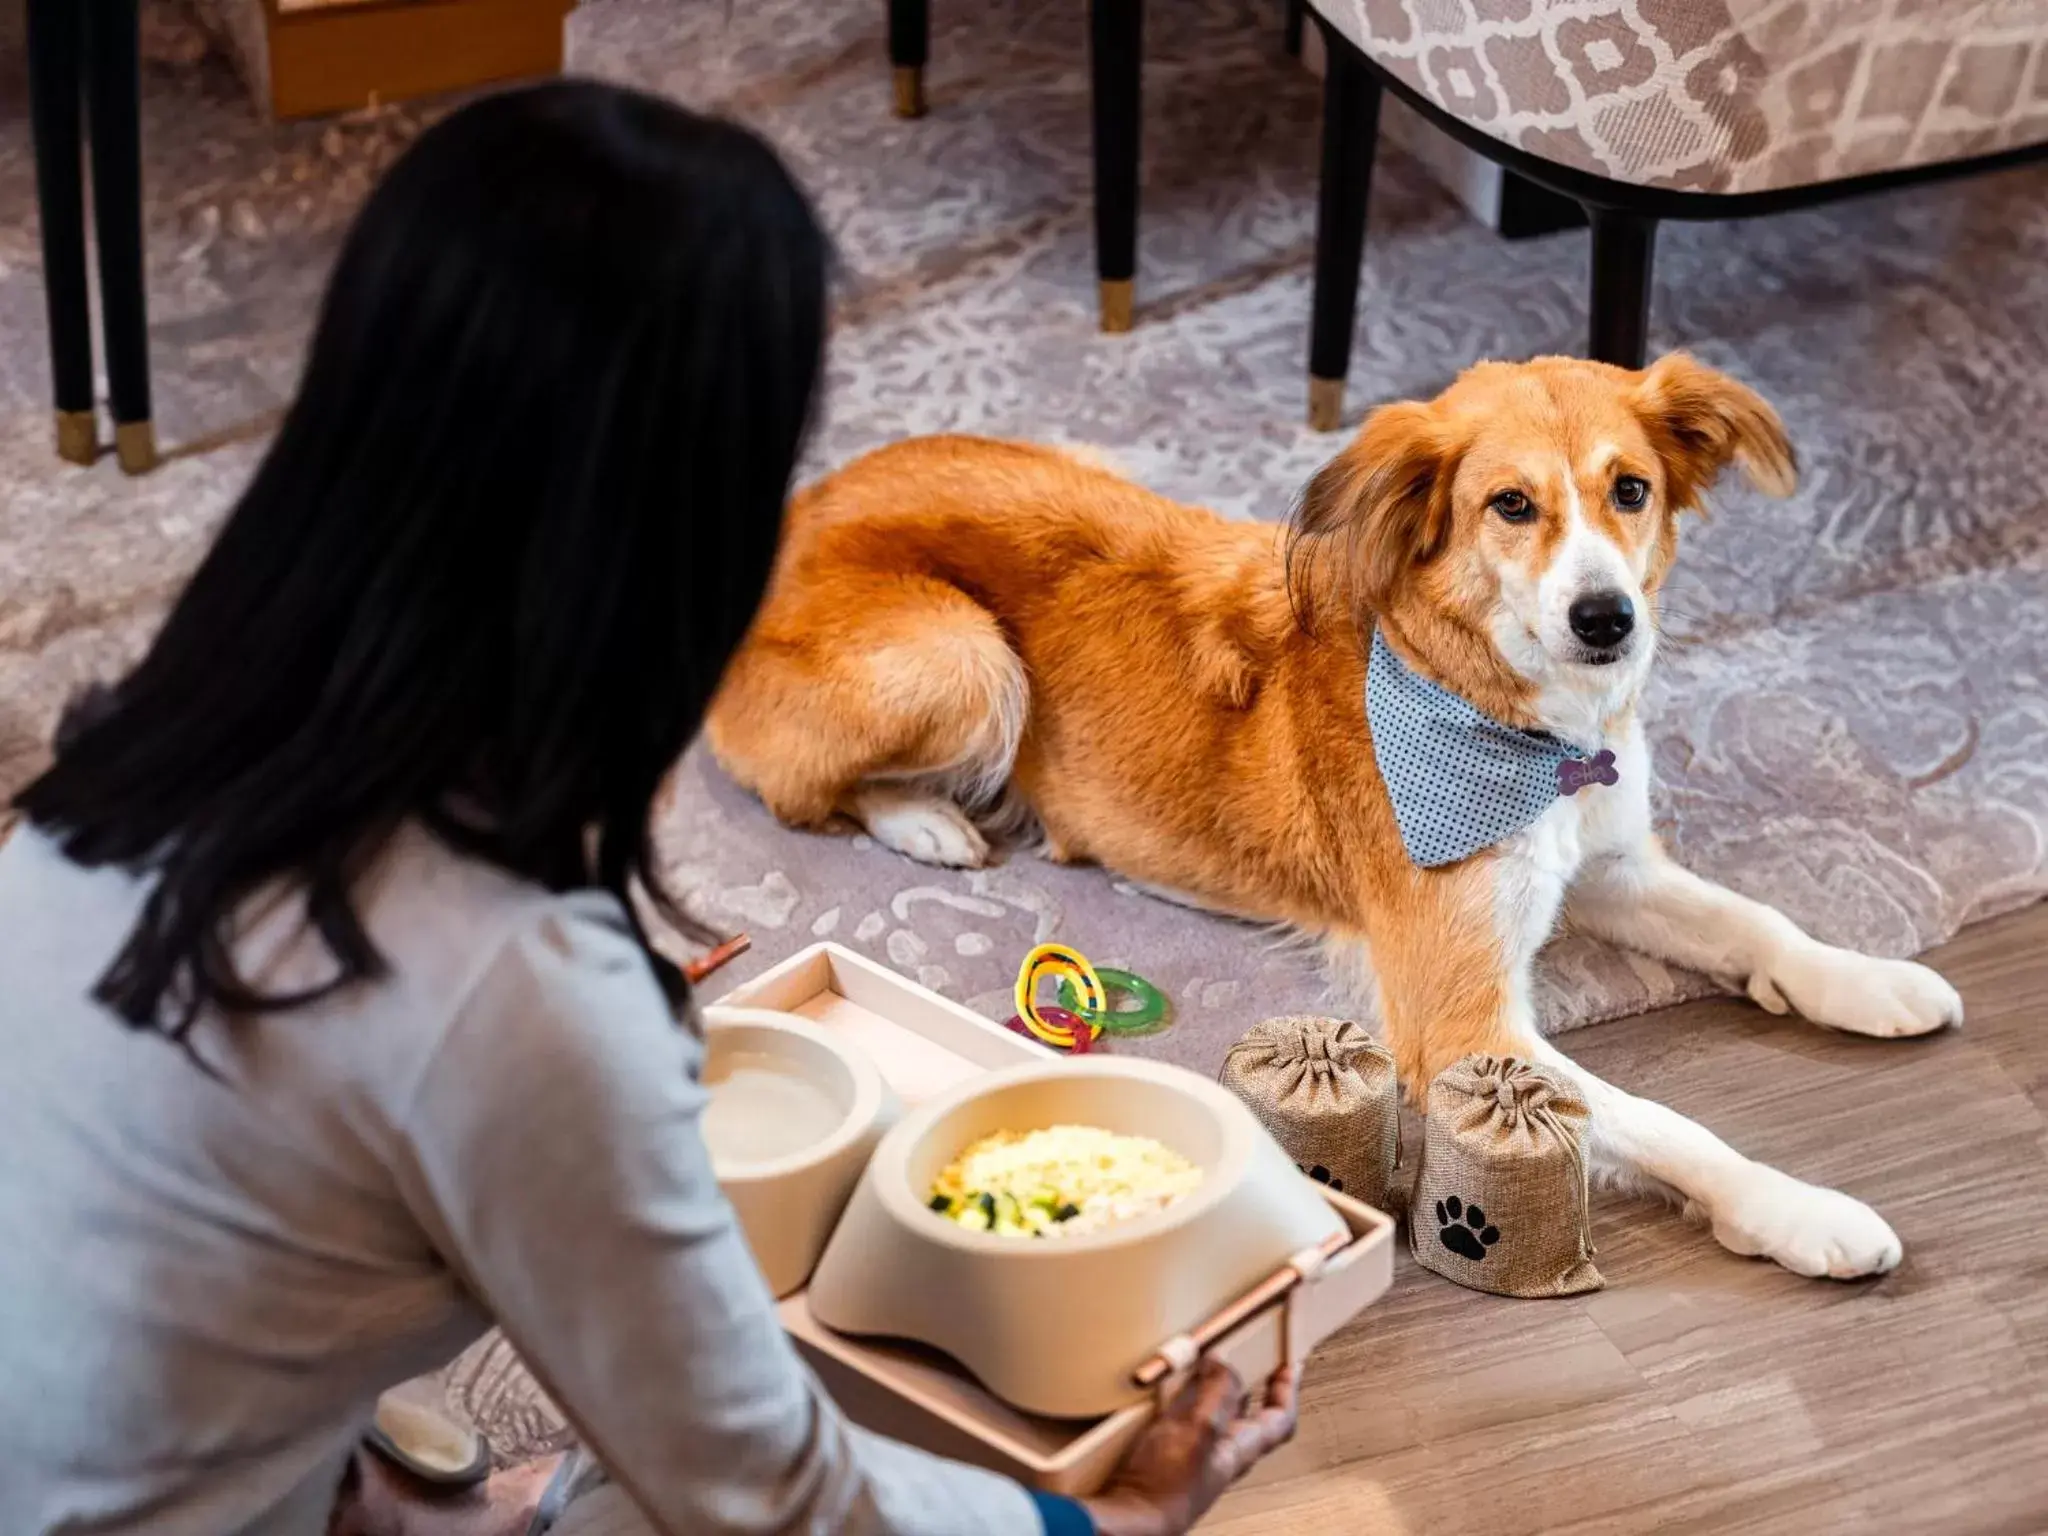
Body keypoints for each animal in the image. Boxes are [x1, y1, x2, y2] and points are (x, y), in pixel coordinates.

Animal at [712, 354, 1957, 1277]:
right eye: (1510, 506)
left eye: (1631, 490)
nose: (1605, 619)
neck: (1506, 718)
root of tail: (799, 505)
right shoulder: (1461, 1028)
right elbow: (1665, 1121)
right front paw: (1795, 1210)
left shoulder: (1610, 864)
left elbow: (1757, 925)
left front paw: (1867, 981)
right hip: (964, 657)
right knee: (796, 787)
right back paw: (925, 823)